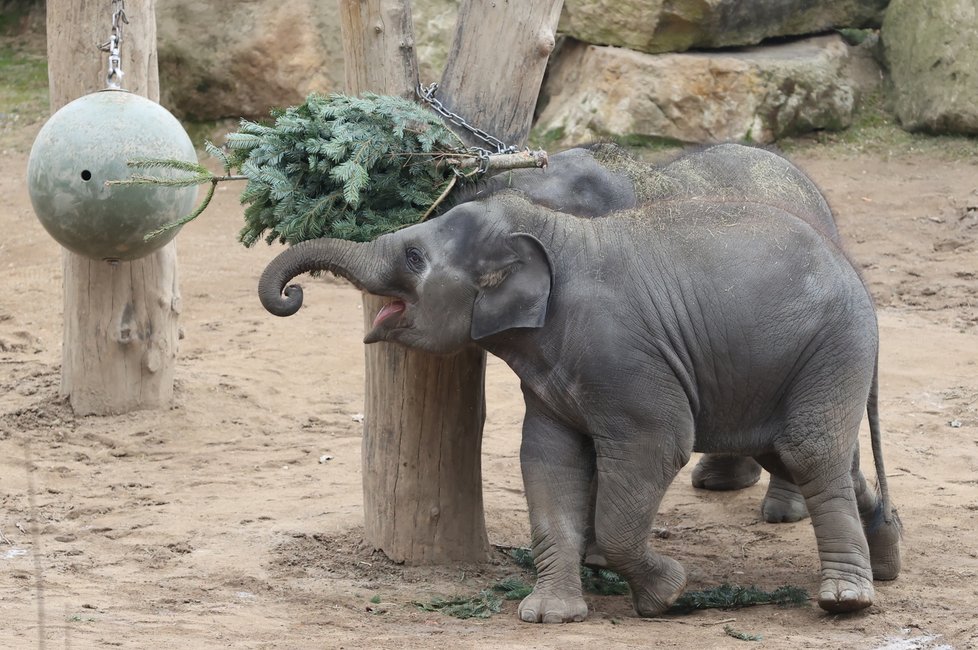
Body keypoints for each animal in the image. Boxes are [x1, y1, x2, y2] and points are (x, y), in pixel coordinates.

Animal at [258, 144, 900, 620]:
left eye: (414, 257)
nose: (292, 294)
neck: (558, 232)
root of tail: (852, 268)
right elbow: (548, 459)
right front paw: (550, 614)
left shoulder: (628, 358)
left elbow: (654, 446)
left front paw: (666, 593)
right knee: (795, 451)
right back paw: (887, 558)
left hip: (831, 348)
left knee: (807, 450)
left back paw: (845, 600)